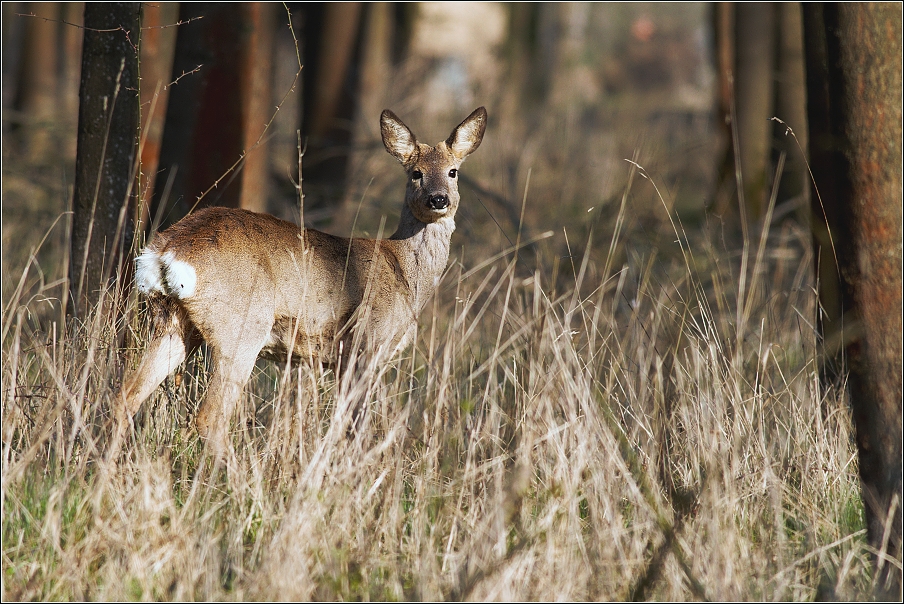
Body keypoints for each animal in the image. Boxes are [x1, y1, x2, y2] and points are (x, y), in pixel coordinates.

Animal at [117, 106, 490, 450]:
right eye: (416, 173)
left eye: (453, 171)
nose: (438, 199)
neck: (405, 274)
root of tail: (168, 250)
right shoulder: (364, 341)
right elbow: (355, 427)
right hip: (242, 326)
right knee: (210, 416)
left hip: (173, 322)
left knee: (126, 395)